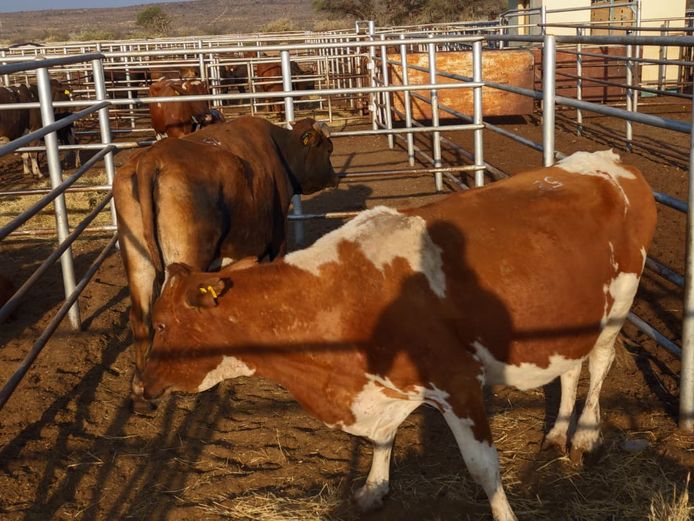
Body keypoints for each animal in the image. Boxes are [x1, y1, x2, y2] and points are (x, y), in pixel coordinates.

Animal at [114, 116, 339, 409]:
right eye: (328, 150)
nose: (336, 176)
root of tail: (152, 158)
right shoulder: (277, 238)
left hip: (138, 261)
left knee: (140, 317)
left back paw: (140, 391)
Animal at [134, 150, 657, 521]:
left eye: (161, 324)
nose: (140, 385)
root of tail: (610, 162)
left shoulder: (457, 383)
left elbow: (483, 468)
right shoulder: (383, 384)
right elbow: (382, 440)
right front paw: (374, 486)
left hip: (618, 306)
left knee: (600, 363)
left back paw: (584, 436)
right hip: (575, 317)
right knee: (570, 370)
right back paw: (557, 433)